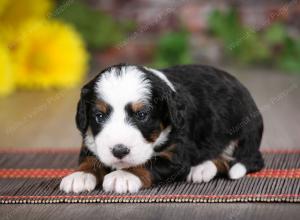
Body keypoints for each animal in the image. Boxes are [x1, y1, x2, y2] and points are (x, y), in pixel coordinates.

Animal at [59, 63, 264, 192]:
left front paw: (123, 176)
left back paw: (202, 169)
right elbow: (90, 159)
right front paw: (80, 176)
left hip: (242, 134)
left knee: (234, 159)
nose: (119, 151)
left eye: (142, 115)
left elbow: (148, 163)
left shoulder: (175, 155)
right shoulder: (91, 141)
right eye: (99, 116)